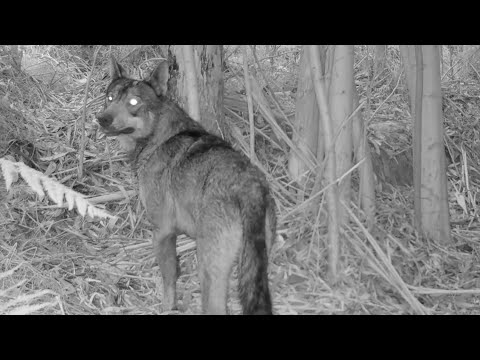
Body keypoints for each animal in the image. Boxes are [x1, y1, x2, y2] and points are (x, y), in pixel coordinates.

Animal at [96, 57, 278, 316]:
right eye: (110, 97)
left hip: (210, 270)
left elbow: (169, 279)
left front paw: (167, 308)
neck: (158, 136)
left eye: (133, 102)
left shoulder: (162, 231)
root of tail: (250, 188)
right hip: (250, 269)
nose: (102, 118)